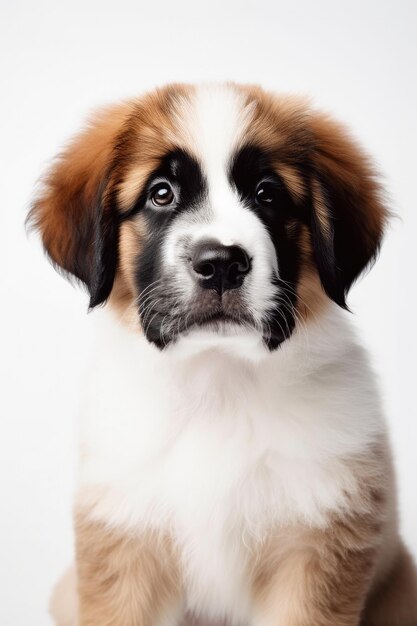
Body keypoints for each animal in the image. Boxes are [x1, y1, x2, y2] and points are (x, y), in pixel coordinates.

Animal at [30, 83, 416, 624]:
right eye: (161, 193)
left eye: (267, 194)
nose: (220, 265)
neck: (218, 382)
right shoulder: (124, 543)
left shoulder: (315, 552)